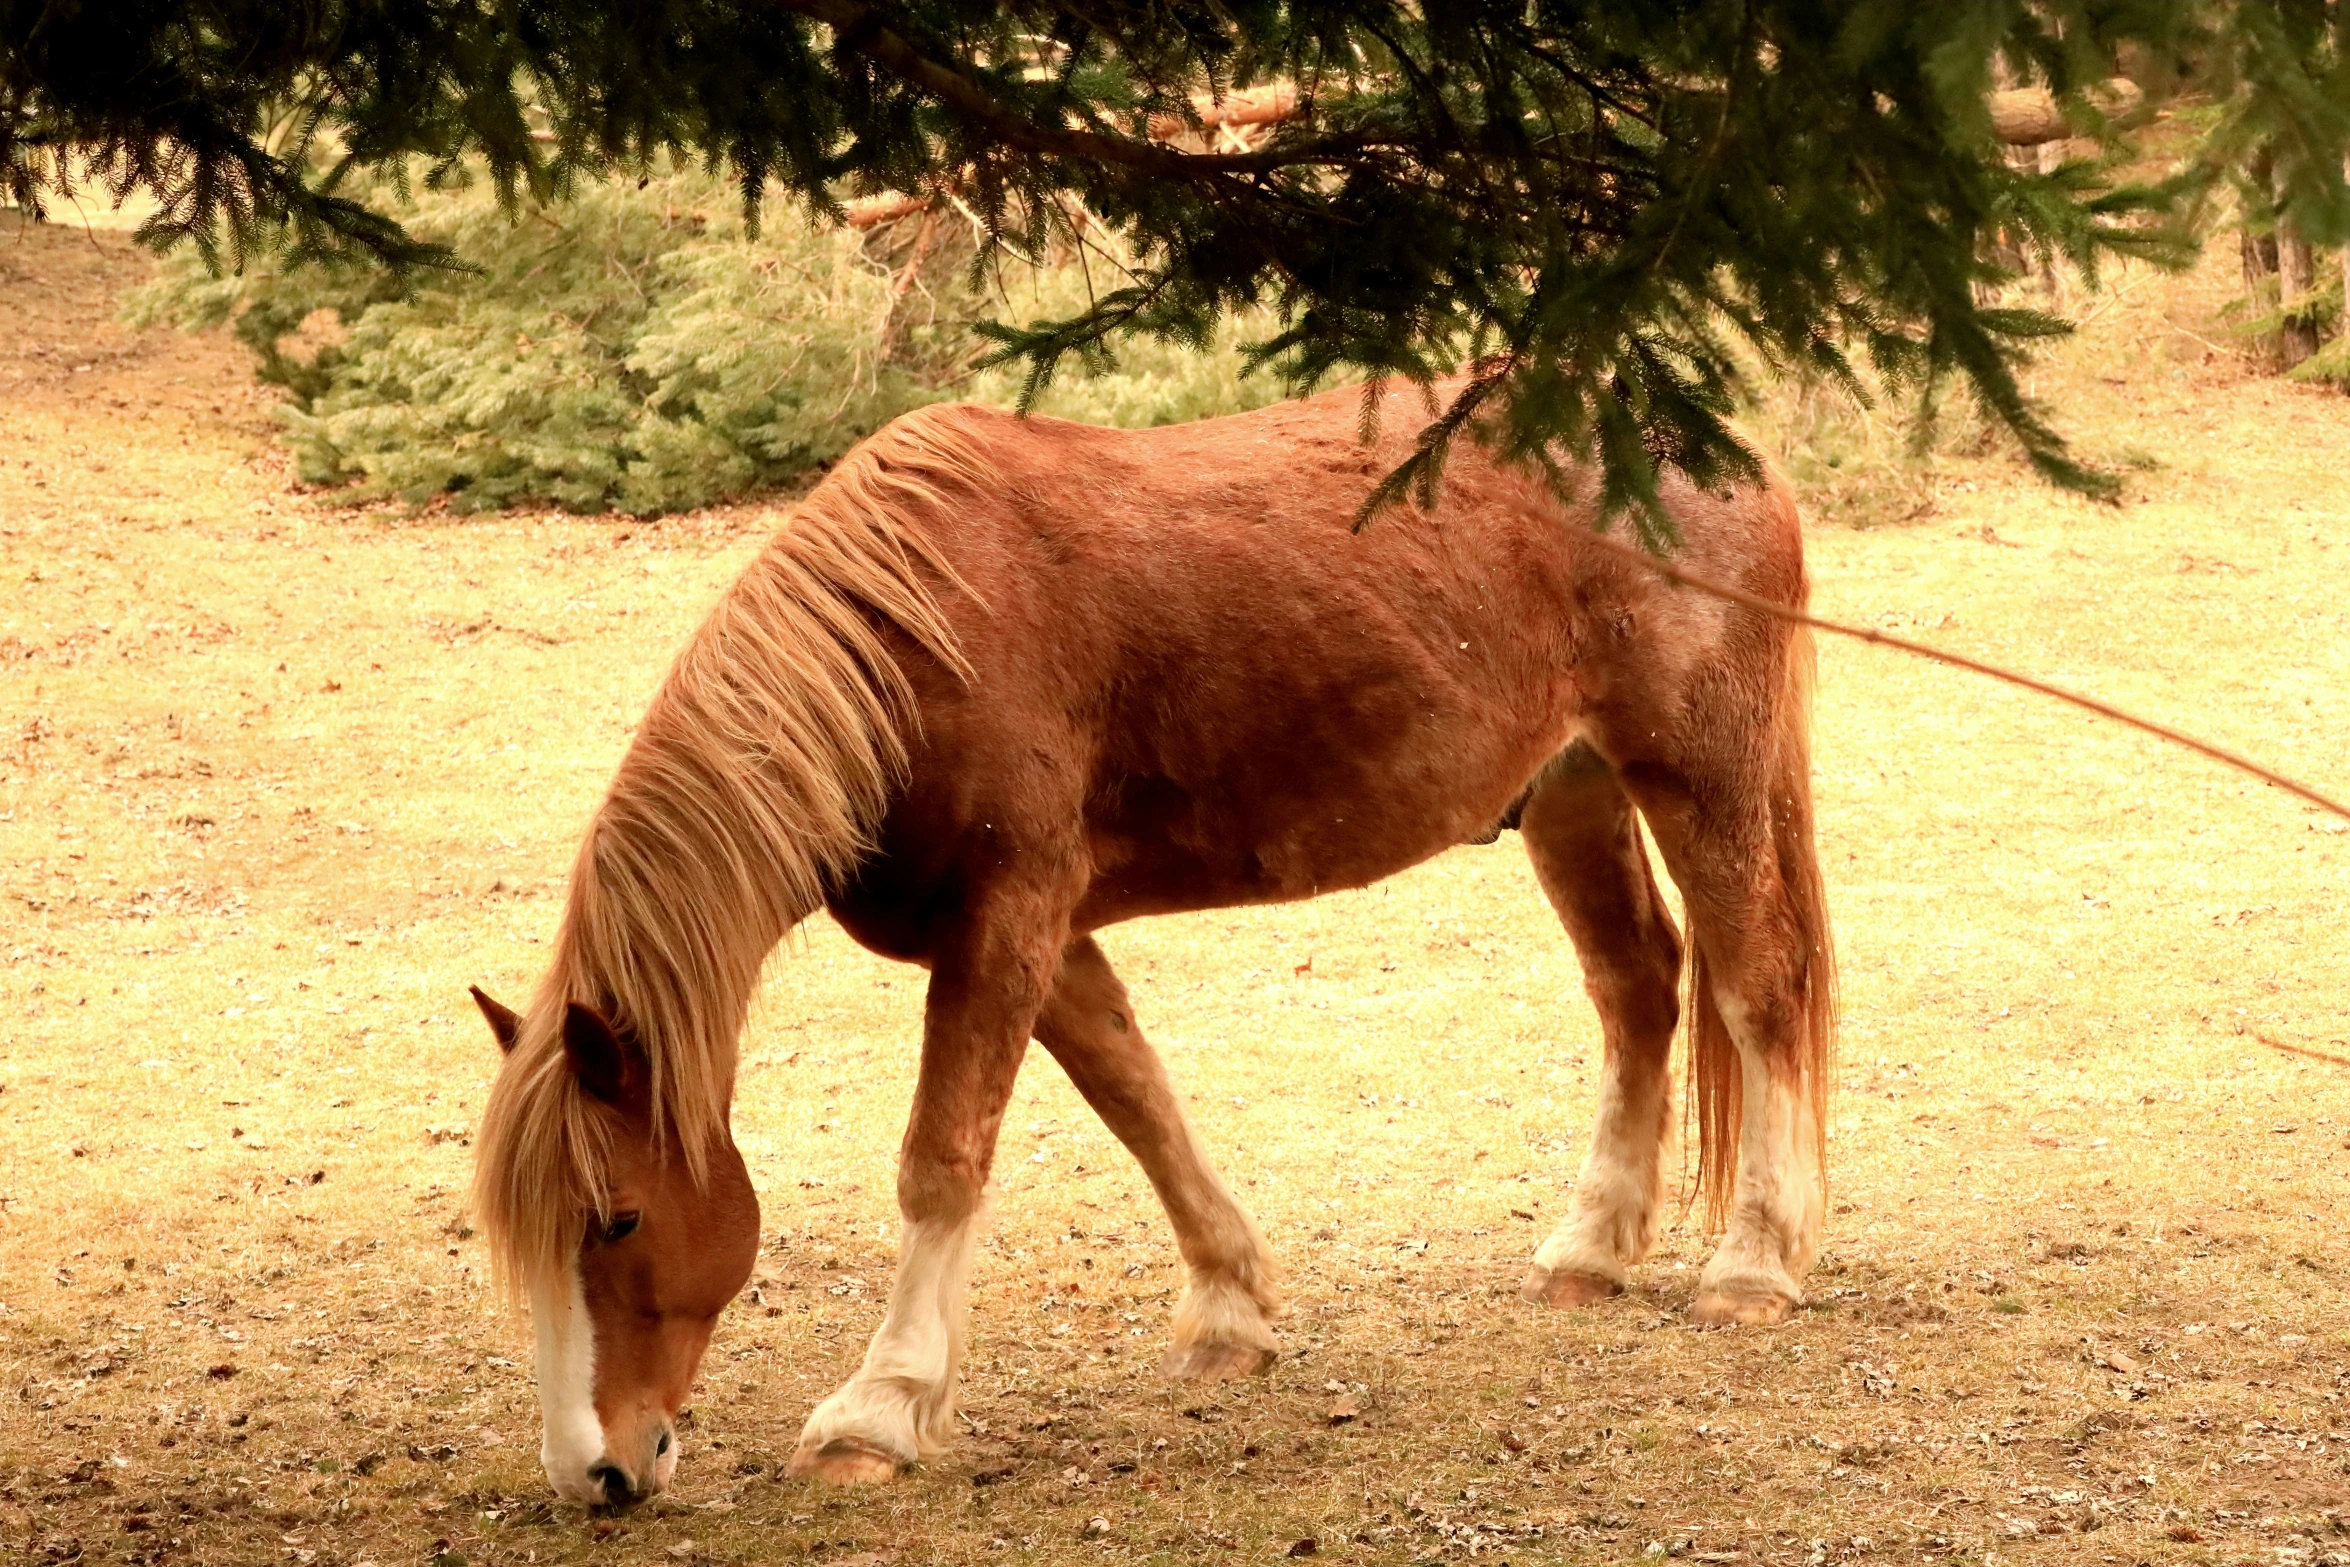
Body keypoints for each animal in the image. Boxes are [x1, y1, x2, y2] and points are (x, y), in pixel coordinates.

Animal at [462, 380, 1832, 1503]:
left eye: (618, 1219)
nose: (596, 1473)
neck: (913, 646)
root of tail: (1714, 444)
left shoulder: (1003, 923)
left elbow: (941, 1162)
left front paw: (880, 1408)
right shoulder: (1046, 936)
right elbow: (1138, 1100)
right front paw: (1230, 1310)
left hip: (1699, 781)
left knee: (1756, 989)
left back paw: (1752, 1268)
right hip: (1571, 791)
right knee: (1637, 988)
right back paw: (1588, 1250)